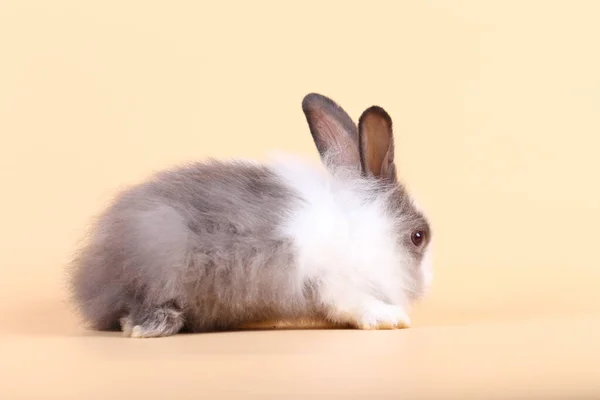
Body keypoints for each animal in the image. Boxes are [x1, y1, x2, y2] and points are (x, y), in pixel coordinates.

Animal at [68, 93, 434, 338]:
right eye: (418, 237)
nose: (429, 282)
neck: (362, 228)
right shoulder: (333, 282)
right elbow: (353, 303)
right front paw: (390, 318)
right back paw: (150, 326)